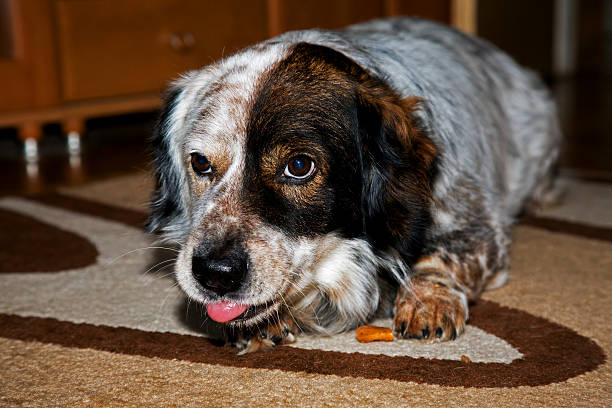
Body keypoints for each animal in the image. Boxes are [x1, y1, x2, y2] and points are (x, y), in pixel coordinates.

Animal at [147, 17, 560, 352]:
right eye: (200, 162)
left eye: (299, 166)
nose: (214, 274)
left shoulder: (477, 226)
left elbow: (443, 258)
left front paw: (429, 300)